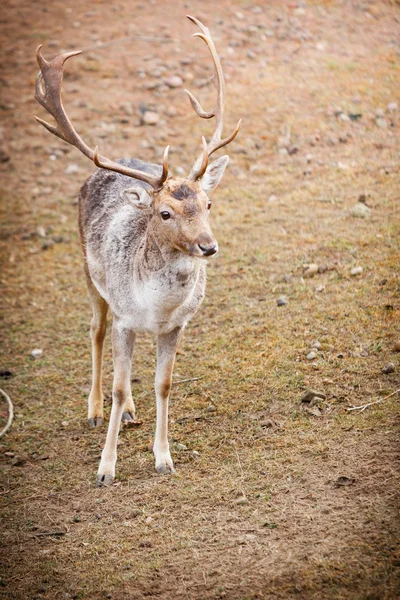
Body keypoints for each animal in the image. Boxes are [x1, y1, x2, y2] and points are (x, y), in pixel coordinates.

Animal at [34, 15, 239, 488]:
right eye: (165, 212)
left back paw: (128, 413)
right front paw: (105, 469)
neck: (156, 308)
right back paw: (94, 411)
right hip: (89, 274)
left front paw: (164, 457)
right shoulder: (126, 319)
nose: (208, 246)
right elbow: (118, 383)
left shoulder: (176, 326)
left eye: (208, 203)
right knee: (95, 331)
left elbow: (162, 384)